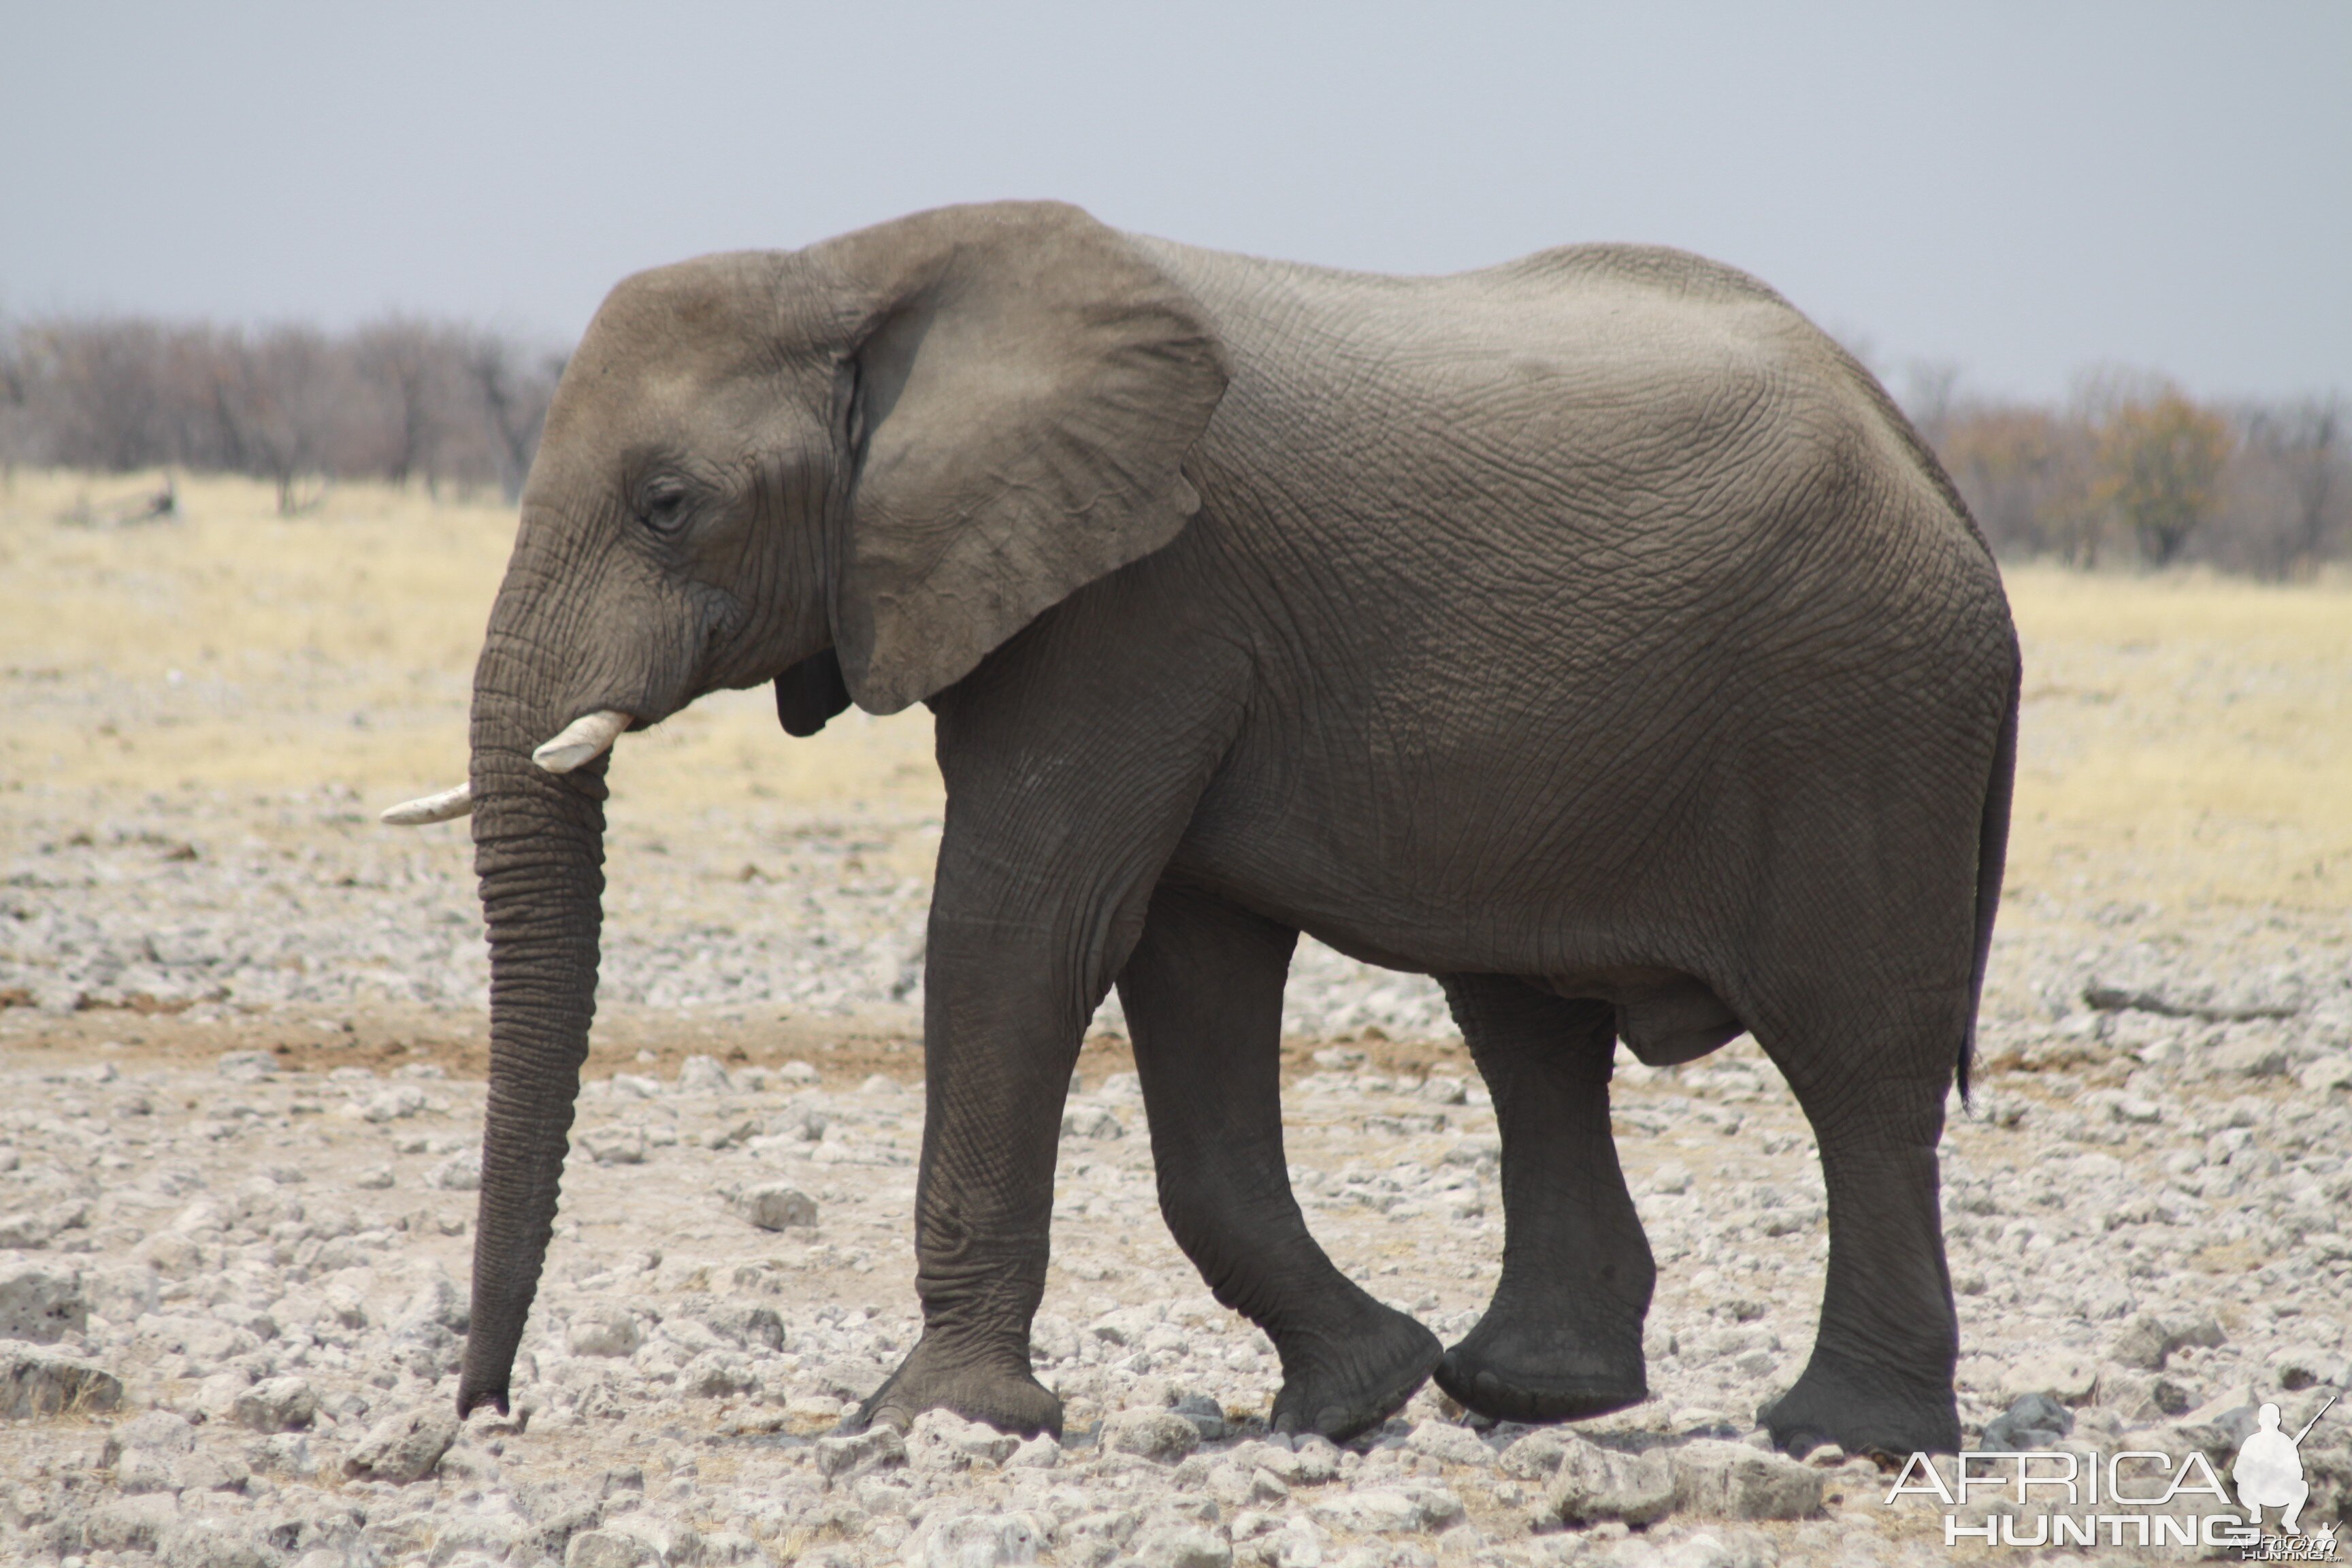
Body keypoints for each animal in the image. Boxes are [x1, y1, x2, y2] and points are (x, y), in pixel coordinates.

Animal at [390, 196, 2023, 1457]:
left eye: (669, 505)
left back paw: (1838, 1435)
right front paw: (1352, 1398)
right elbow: (1185, 969)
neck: (855, 264)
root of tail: (1935, 471)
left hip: (1866, 718)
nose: (485, 1413)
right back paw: (1527, 1396)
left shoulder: (1142, 597)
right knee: (1531, 1032)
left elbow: (1021, 930)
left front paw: (927, 1422)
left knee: (1856, 1065)